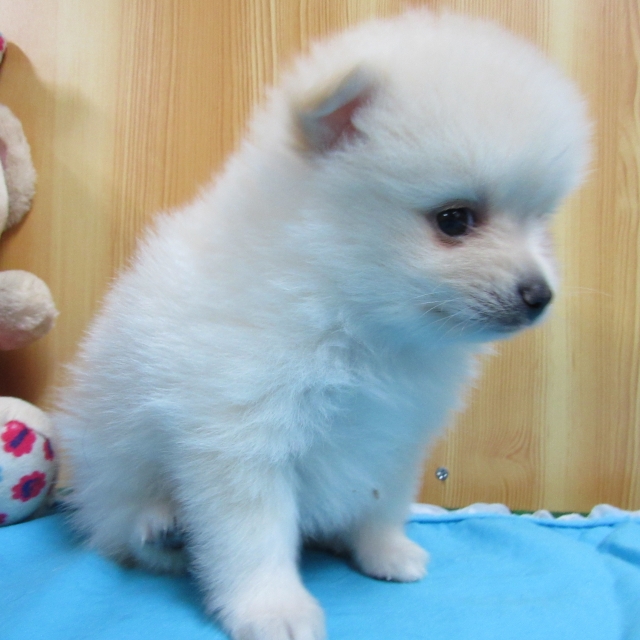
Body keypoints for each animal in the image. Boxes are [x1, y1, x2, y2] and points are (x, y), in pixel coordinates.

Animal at [53, 11, 590, 640]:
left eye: (540, 222)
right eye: (454, 220)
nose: (539, 294)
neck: (349, 311)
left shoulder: (395, 434)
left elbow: (383, 502)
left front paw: (384, 551)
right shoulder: (239, 433)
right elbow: (251, 534)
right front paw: (272, 607)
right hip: (114, 472)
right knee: (119, 530)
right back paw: (160, 527)